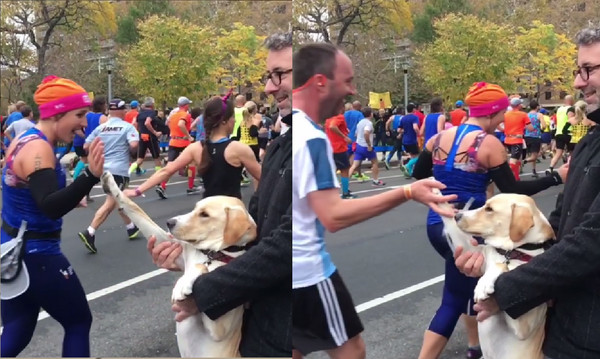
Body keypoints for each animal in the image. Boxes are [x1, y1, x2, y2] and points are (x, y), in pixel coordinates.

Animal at [101, 172, 255, 358]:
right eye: (195, 208)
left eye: (204, 214)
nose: (169, 222)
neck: (211, 253)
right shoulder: (169, 243)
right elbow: (134, 208)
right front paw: (112, 185)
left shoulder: (220, 329)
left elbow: (202, 268)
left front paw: (183, 284)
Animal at [434, 190, 556, 358]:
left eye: (489, 209)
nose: (458, 215)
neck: (511, 252)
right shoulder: (470, 250)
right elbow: (452, 226)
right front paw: (436, 194)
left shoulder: (524, 326)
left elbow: (501, 266)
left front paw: (483, 285)